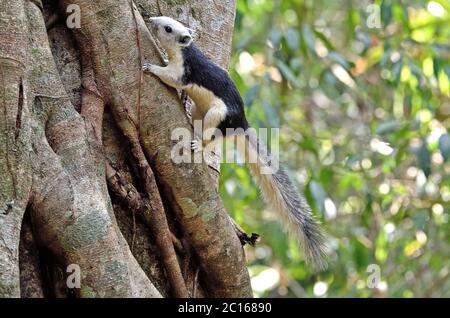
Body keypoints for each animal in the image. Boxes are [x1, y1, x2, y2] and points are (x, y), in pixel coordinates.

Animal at [142, 14, 326, 268]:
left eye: (168, 28)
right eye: (165, 20)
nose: (151, 20)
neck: (185, 50)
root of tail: (241, 124)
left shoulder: (183, 71)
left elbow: (171, 78)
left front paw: (150, 67)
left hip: (218, 114)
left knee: (211, 137)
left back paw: (198, 143)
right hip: (201, 111)